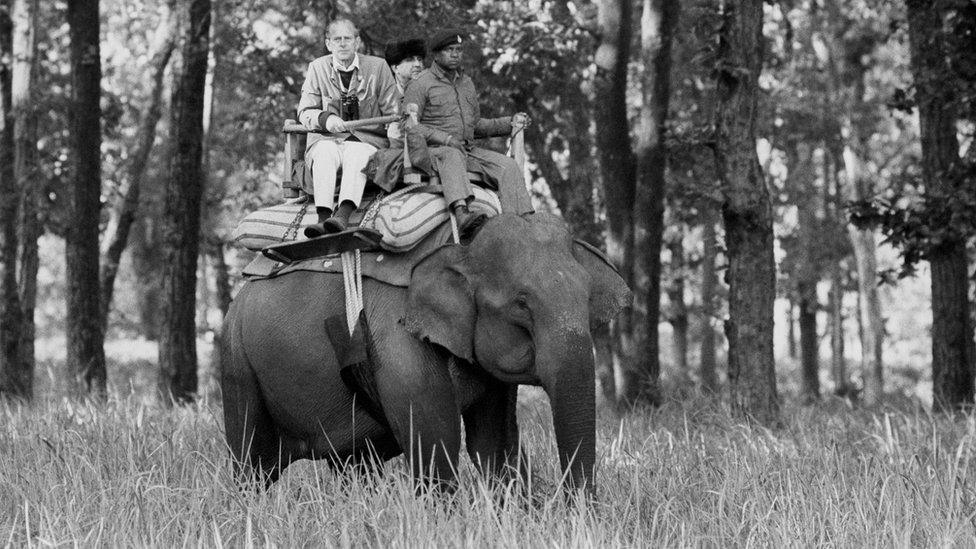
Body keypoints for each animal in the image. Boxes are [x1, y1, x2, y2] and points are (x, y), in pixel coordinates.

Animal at [219, 212, 632, 490]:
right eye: (521, 304)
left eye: (588, 297)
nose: (576, 508)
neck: (459, 245)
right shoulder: (397, 338)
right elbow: (434, 441)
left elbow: (492, 445)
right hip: (237, 361)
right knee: (253, 464)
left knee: (354, 465)